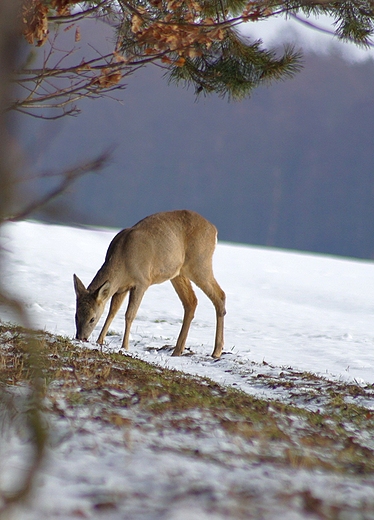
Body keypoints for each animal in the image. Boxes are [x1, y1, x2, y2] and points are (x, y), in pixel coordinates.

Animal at [72, 209, 225, 356]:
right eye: (76, 314)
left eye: (92, 319)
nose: (80, 337)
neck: (123, 262)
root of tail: (214, 230)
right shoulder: (121, 288)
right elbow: (112, 312)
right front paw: (100, 341)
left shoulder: (142, 282)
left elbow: (129, 314)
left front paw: (124, 347)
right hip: (178, 273)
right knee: (191, 302)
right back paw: (178, 351)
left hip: (199, 264)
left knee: (220, 295)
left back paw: (216, 351)